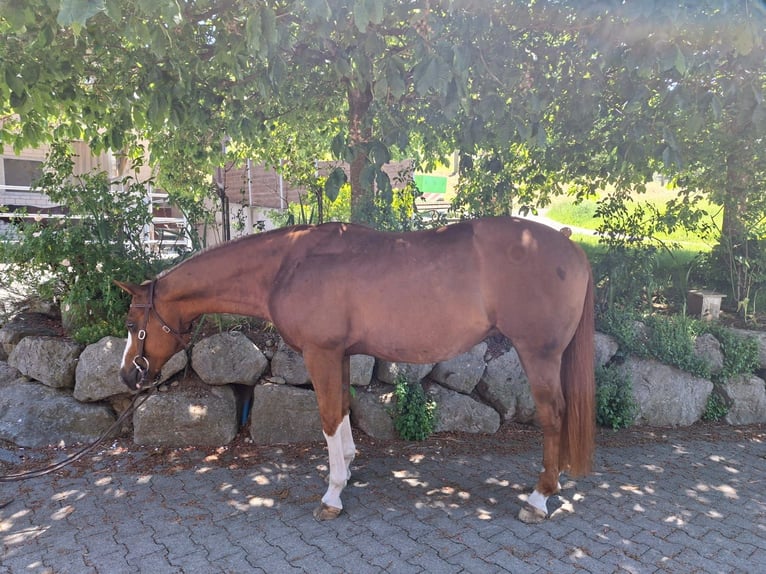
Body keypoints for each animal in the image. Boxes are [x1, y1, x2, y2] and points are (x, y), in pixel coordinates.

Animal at [116, 216, 595, 524]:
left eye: (131, 323)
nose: (127, 376)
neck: (288, 265)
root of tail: (571, 247)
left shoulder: (321, 352)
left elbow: (328, 416)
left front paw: (332, 494)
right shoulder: (341, 354)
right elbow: (344, 409)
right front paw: (346, 468)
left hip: (538, 354)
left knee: (553, 416)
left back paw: (538, 498)